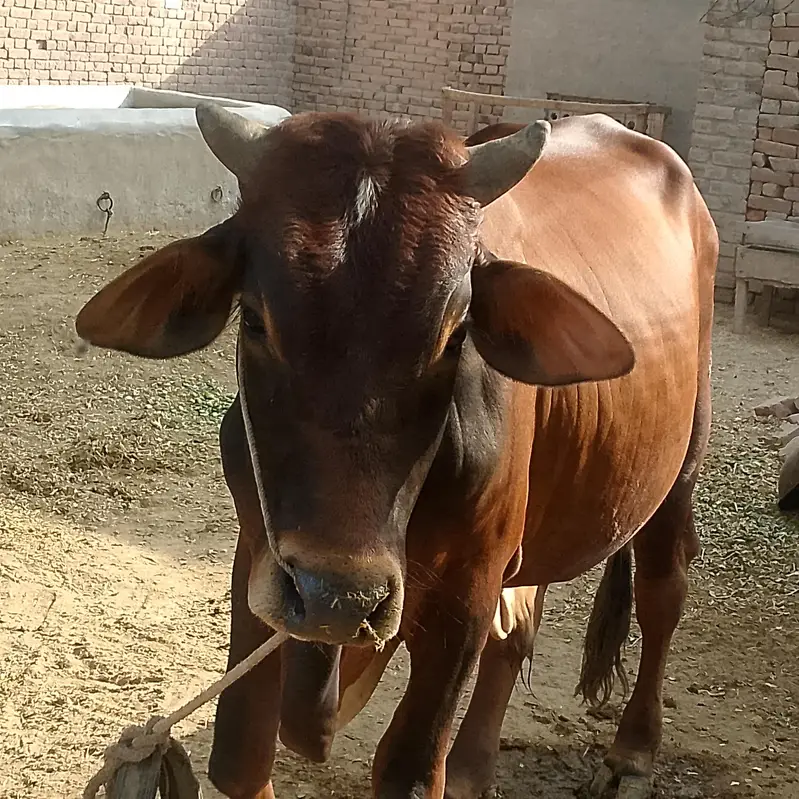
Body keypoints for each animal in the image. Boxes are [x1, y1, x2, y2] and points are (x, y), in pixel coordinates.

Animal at [75, 105, 717, 799]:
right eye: (254, 319)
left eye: (456, 333)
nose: (337, 596)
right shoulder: (258, 561)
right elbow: (240, 758)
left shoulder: (465, 593)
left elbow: (408, 768)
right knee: (519, 627)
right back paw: (471, 768)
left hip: (681, 465)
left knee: (662, 591)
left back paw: (631, 752)